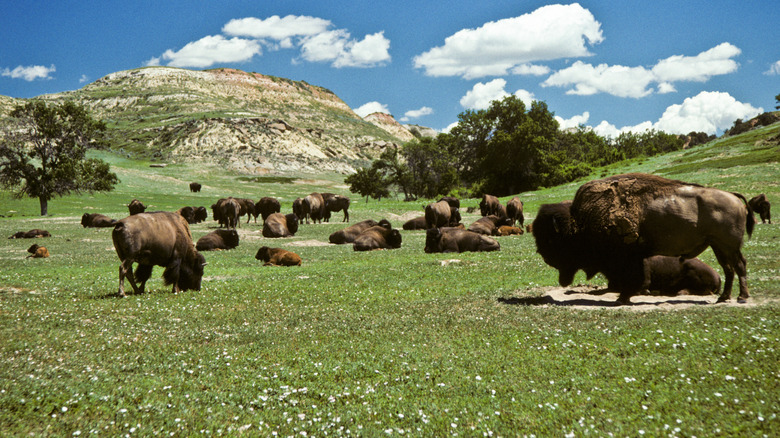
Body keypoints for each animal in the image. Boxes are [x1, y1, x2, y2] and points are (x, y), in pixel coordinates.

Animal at [532, 173, 752, 302]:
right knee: (729, 268)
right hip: (718, 245)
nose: (544, 257)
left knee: (739, 265)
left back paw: (741, 297)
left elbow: (633, 280)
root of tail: (733, 197)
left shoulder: (630, 259)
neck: (581, 221)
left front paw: (623, 298)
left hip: (729, 245)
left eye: (552, 240)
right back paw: (724, 297)